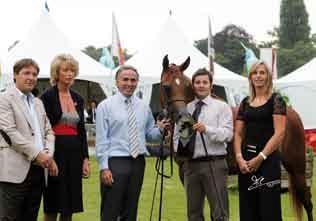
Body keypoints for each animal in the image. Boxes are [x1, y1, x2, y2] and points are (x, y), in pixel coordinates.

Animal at [160, 54, 314, 221]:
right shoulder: (186, 174)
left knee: (307, 202)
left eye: (188, 86)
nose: (185, 119)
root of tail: (292, 113)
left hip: (297, 168)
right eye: (166, 87)